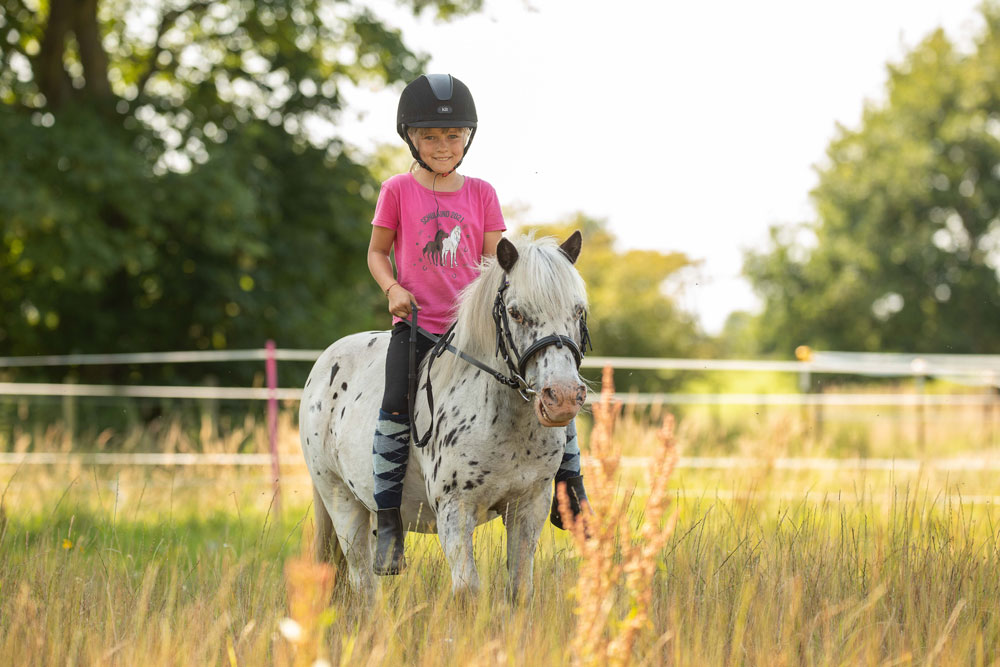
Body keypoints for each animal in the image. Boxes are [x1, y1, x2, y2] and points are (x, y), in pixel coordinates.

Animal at [300, 235, 588, 600]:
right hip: (340, 499)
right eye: (516, 313)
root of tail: (323, 364)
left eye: (578, 311)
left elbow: (520, 588)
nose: (562, 398)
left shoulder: (528, 507)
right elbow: (468, 590)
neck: (506, 424)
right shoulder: (455, 510)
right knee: (364, 583)